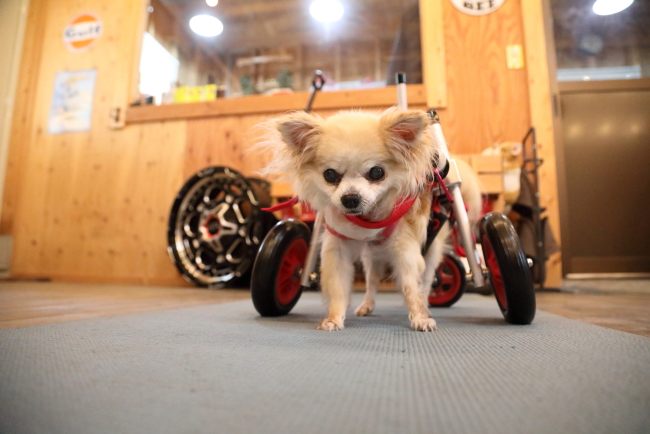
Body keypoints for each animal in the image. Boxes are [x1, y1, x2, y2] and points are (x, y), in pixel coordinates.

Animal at [260, 108, 480, 332]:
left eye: (377, 172)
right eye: (329, 175)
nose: (350, 198)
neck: (368, 219)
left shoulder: (405, 248)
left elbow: (411, 286)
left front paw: (420, 317)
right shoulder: (337, 249)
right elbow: (338, 285)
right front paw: (334, 317)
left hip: (432, 250)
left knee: (427, 281)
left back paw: (426, 306)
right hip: (372, 257)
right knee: (372, 281)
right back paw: (367, 305)